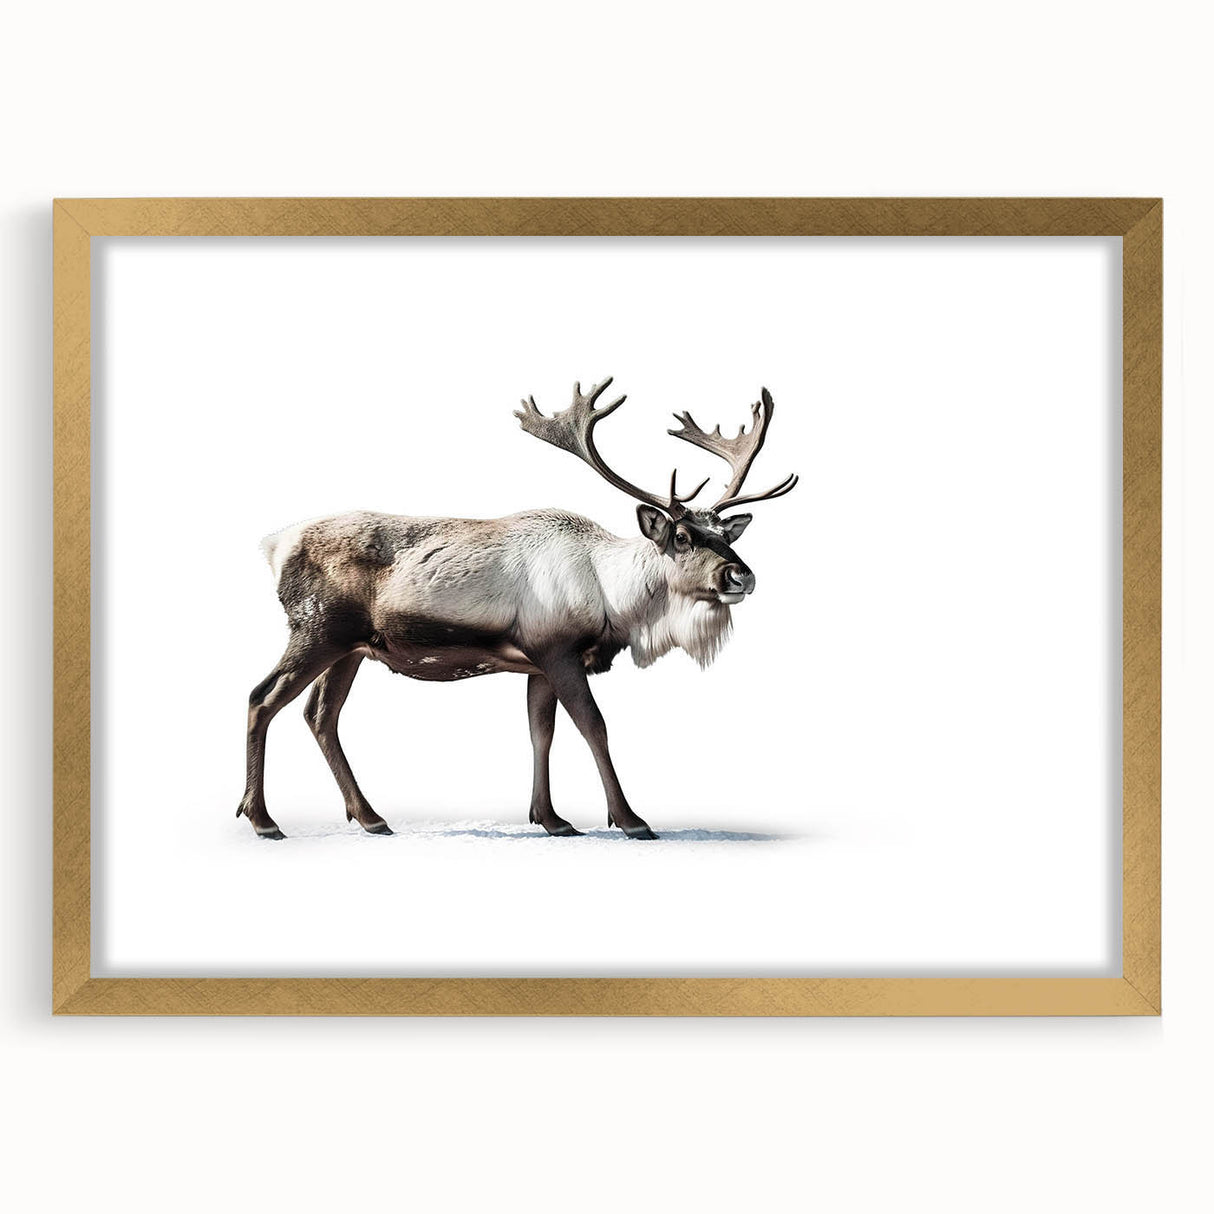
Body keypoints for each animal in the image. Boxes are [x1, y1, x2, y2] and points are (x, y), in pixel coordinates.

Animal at [237, 379, 797, 840]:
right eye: (681, 536)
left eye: (727, 535)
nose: (741, 576)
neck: (612, 598)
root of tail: (273, 546)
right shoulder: (559, 651)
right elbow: (594, 726)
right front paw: (631, 820)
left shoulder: (537, 664)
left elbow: (539, 732)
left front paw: (552, 819)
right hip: (317, 630)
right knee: (263, 698)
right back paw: (264, 821)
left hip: (352, 648)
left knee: (321, 714)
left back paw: (371, 817)